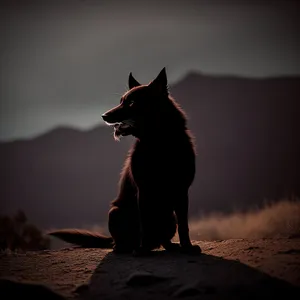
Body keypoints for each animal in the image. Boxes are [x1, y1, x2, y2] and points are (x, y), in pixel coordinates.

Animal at [49, 68, 200, 255]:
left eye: (132, 102)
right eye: (121, 101)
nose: (104, 115)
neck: (158, 142)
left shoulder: (181, 191)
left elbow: (184, 225)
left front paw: (188, 247)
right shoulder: (144, 192)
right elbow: (146, 224)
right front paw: (143, 250)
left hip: (169, 216)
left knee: (163, 237)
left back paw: (169, 246)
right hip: (115, 213)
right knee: (123, 241)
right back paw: (127, 247)